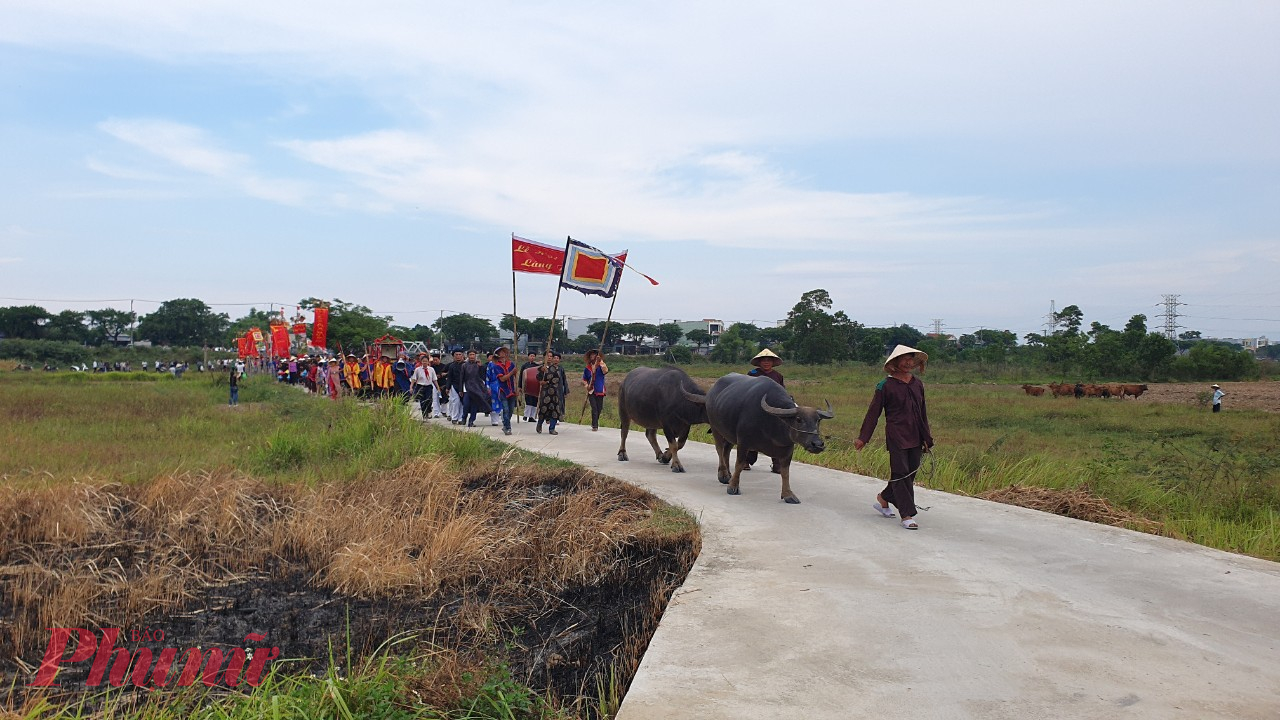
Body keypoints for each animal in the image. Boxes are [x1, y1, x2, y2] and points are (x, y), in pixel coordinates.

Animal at [696, 371, 834, 502]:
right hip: (716, 428)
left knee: (726, 450)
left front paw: (788, 495)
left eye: (818, 420)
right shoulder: (743, 442)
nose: (817, 444)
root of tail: (711, 392)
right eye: (799, 419)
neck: (772, 424)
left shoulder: (788, 449)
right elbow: (739, 464)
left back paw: (728, 474)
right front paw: (733, 487)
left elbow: (785, 472)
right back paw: (723, 475)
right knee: (719, 449)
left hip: (729, 434)